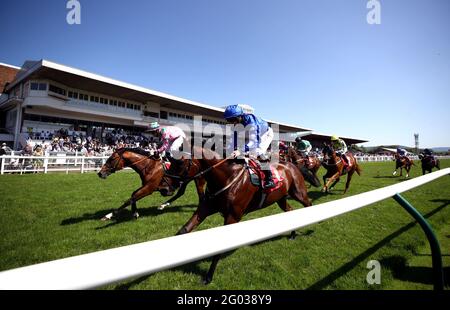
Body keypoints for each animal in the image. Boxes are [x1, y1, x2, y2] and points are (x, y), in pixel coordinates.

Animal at [171, 147, 312, 284]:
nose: (168, 186)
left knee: (309, 204)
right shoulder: (205, 208)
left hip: (298, 193)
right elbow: (183, 230)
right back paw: (292, 235)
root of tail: (292, 165)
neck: (227, 178)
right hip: (280, 199)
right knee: (290, 211)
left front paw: (208, 277)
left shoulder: (232, 217)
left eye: (180, 162)